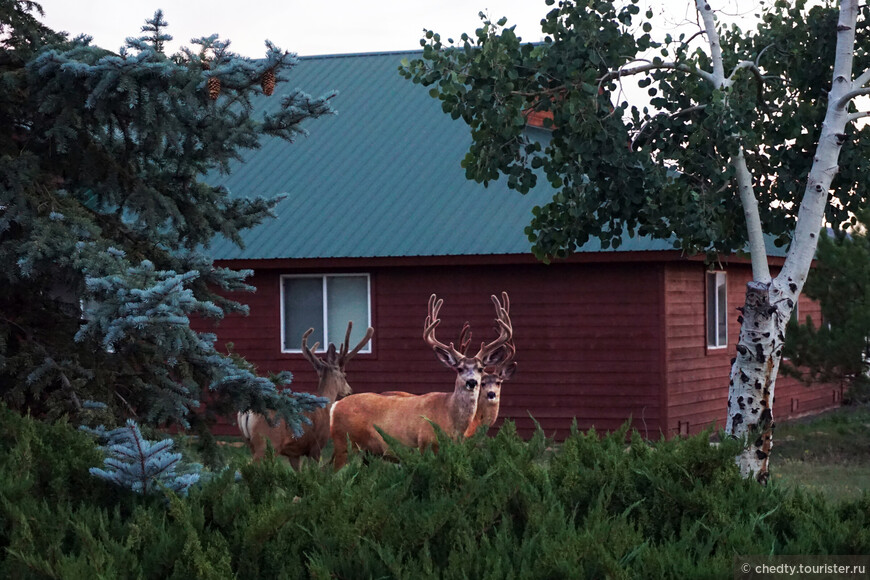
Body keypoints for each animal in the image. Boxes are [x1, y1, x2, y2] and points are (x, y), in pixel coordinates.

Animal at [238, 324, 374, 468]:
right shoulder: (316, 445)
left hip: (250, 443)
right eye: (344, 375)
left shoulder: (294, 453)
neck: (325, 403)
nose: (349, 390)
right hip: (267, 441)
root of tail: (247, 412)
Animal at [332, 292, 510, 468]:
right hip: (343, 445)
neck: (451, 419)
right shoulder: (427, 442)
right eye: (459, 369)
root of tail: (335, 407)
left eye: (480, 369)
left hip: (366, 453)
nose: (472, 382)